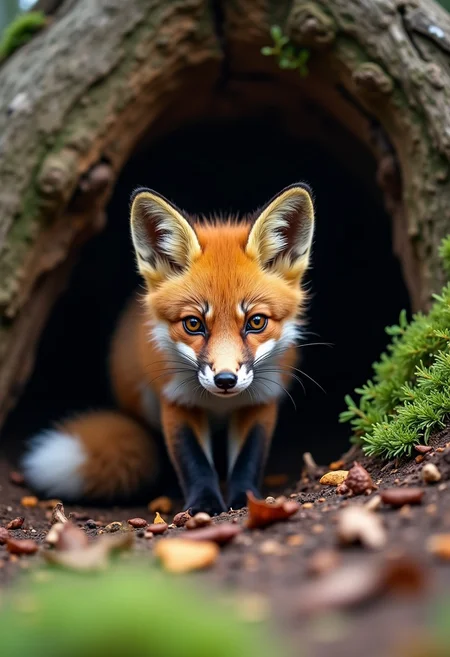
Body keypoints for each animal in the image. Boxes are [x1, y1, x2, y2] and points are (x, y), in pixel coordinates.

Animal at [21, 183, 315, 514]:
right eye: (193, 323)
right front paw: (204, 505)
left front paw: (244, 500)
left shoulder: (262, 399)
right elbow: (193, 462)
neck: (219, 404)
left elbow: (248, 460)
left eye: (256, 321)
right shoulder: (175, 399)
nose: (225, 380)